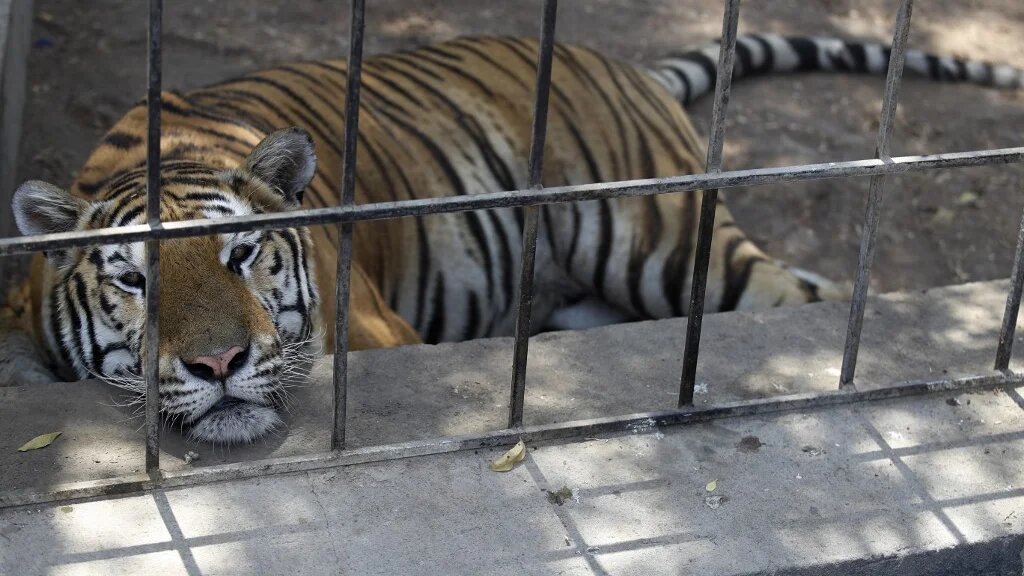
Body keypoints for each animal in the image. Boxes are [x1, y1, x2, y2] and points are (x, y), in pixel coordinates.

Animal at [2, 34, 1021, 443]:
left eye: (243, 256)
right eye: (134, 282)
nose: (219, 365)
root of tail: (618, 62)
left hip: (665, 244)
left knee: (812, 300)